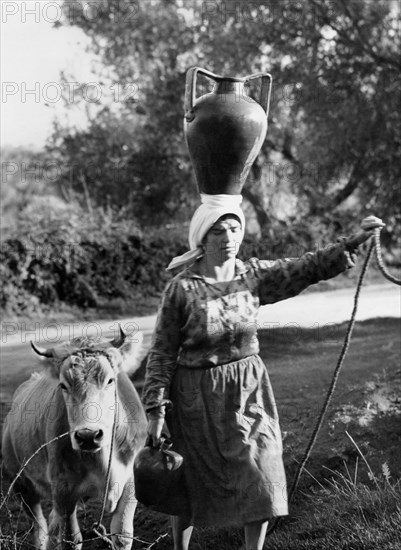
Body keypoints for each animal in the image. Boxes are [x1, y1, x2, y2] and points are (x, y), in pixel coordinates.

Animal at [0, 330, 148, 548]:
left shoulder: (130, 480)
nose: (88, 436)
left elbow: (122, 534)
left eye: (110, 380)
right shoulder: (64, 490)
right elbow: (71, 539)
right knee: (40, 527)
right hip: (19, 482)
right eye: (63, 385)